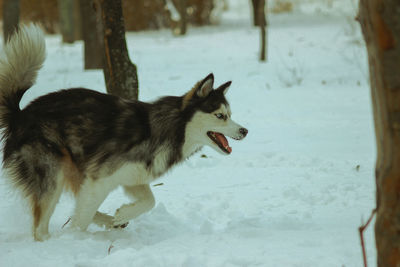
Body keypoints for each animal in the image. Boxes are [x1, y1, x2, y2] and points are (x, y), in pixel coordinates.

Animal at [0, 25, 247, 243]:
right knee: (41, 227)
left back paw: (108, 220)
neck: (171, 128)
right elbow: (83, 218)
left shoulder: (132, 178)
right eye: (220, 116)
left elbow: (149, 201)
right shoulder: (99, 179)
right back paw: (55, 241)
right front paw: (79, 237)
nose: (245, 131)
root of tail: (20, 114)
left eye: (230, 114)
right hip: (53, 173)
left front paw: (120, 215)